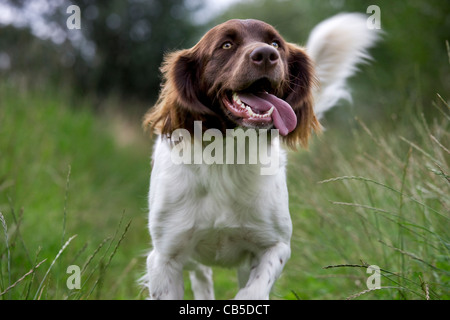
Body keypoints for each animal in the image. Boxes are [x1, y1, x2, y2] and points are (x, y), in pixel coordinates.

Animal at [142, 13, 378, 298]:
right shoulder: (165, 257)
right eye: (226, 45)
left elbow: (253, 290)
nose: (266, 55)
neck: (227, 158)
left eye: (276, 44)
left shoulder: (273, 245)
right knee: (202, 275)